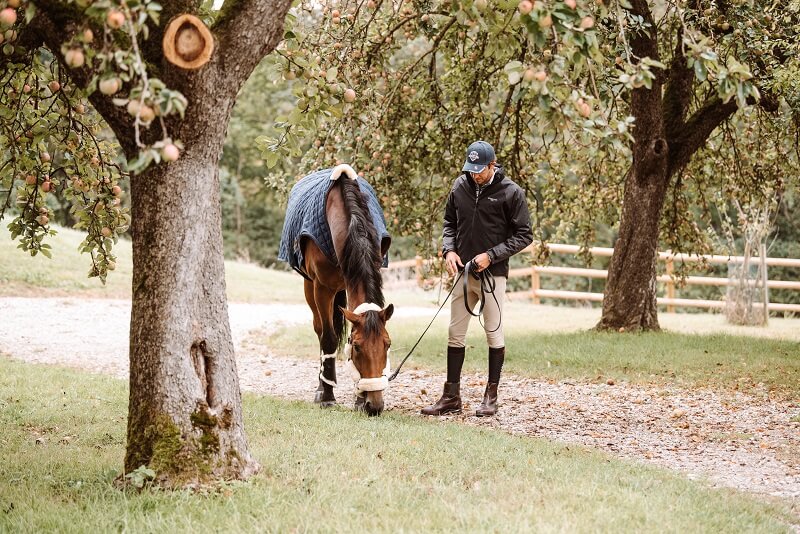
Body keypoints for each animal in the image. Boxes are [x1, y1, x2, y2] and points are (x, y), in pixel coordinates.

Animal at [278, 165, 394, 416]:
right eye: (357, 347)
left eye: (387, 344)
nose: (375, 406)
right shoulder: (322, 288)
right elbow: (329, 339)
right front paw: (327, 396)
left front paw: (359, 399)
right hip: (310, 287)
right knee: (320, 331)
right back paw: (323, 386)